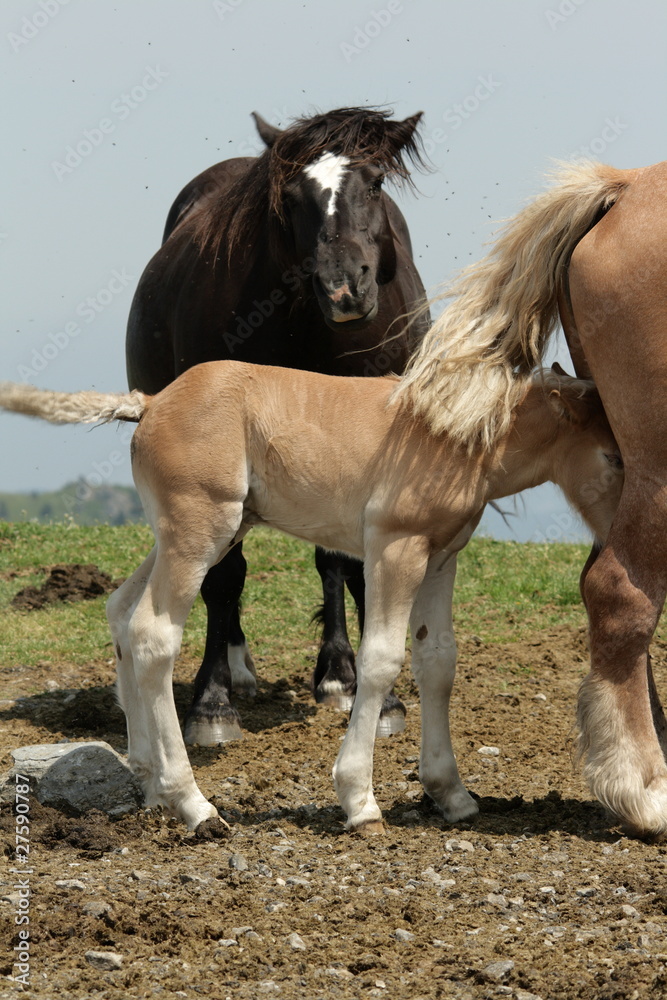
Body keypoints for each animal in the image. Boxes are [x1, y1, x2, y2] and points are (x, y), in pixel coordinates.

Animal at [0, 359, 623, 834]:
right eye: (612, 457)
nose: (625, 537)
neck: (455, 434)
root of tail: (151, 402)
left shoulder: (442, 555)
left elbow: (437, 660)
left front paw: (452, 794)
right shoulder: (395, 548)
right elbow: (381, 660)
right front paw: (359, 800)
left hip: (191, 534)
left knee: (121, 612)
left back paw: (151, 783)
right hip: (198, 533)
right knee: (153, 635)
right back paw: (195, 805)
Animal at [125, 107, 431, 746]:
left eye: (375, 184)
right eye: (292, 199)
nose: (344, 287)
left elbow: (350, 565)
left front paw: (373, 696)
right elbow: (223, 577)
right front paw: (211, 704)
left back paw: (337, 674)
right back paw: (236, 668)